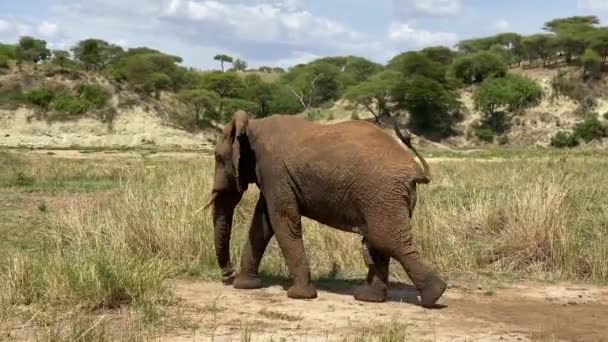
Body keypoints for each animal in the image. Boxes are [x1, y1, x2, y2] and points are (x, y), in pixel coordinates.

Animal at [207, 111, 448, 308]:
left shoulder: (274, 171)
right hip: (385, 198)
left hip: (382, 193)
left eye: (218, 157)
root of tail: (414, 169)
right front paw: (245, 286)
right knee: (378, 241)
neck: (252, 125)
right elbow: (263, 223)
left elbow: (282, 220)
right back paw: (369, 298)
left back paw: (434, 295)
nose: (226, 275)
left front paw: (299, 296)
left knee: (385, 239)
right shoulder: (272, 177)